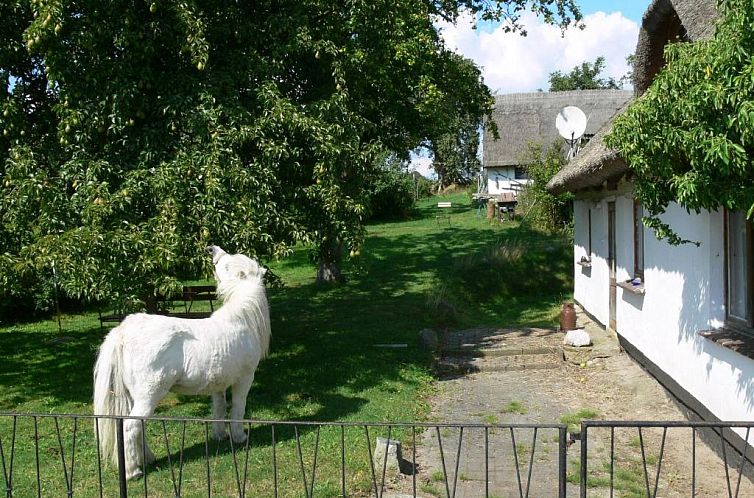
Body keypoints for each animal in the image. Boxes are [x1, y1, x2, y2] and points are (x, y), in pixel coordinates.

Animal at [92, 245, 270, 478]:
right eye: (227, 264)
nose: (212, 249)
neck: (241, 321)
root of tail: (123, 331)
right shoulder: (245, 379)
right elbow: (238, 408)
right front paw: (239, 437)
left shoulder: (219, 384)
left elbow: (220, 407)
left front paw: (220, 435)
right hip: (148, 395)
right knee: (130, 427)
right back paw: (133, 471)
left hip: (133, 397)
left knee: (138, 427)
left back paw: (147, 458)